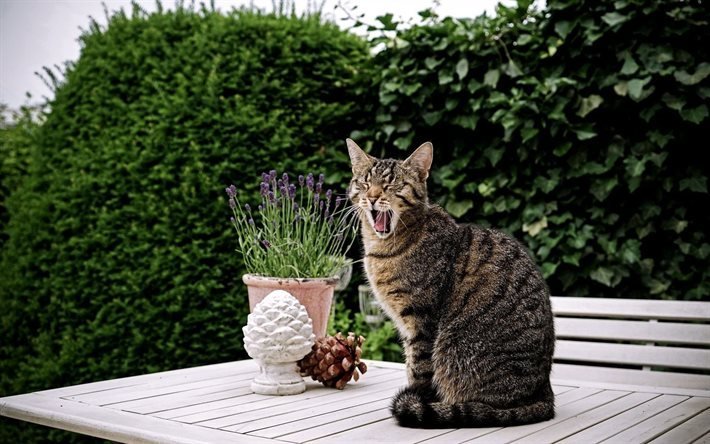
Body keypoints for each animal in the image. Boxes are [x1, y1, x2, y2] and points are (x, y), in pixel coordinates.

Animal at [348, 140, 560, 430]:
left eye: (391, 184)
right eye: (365, 182)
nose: (371, 196)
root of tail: (545, 392)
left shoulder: (421, 320)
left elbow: (418, 370)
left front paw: (417, 401)